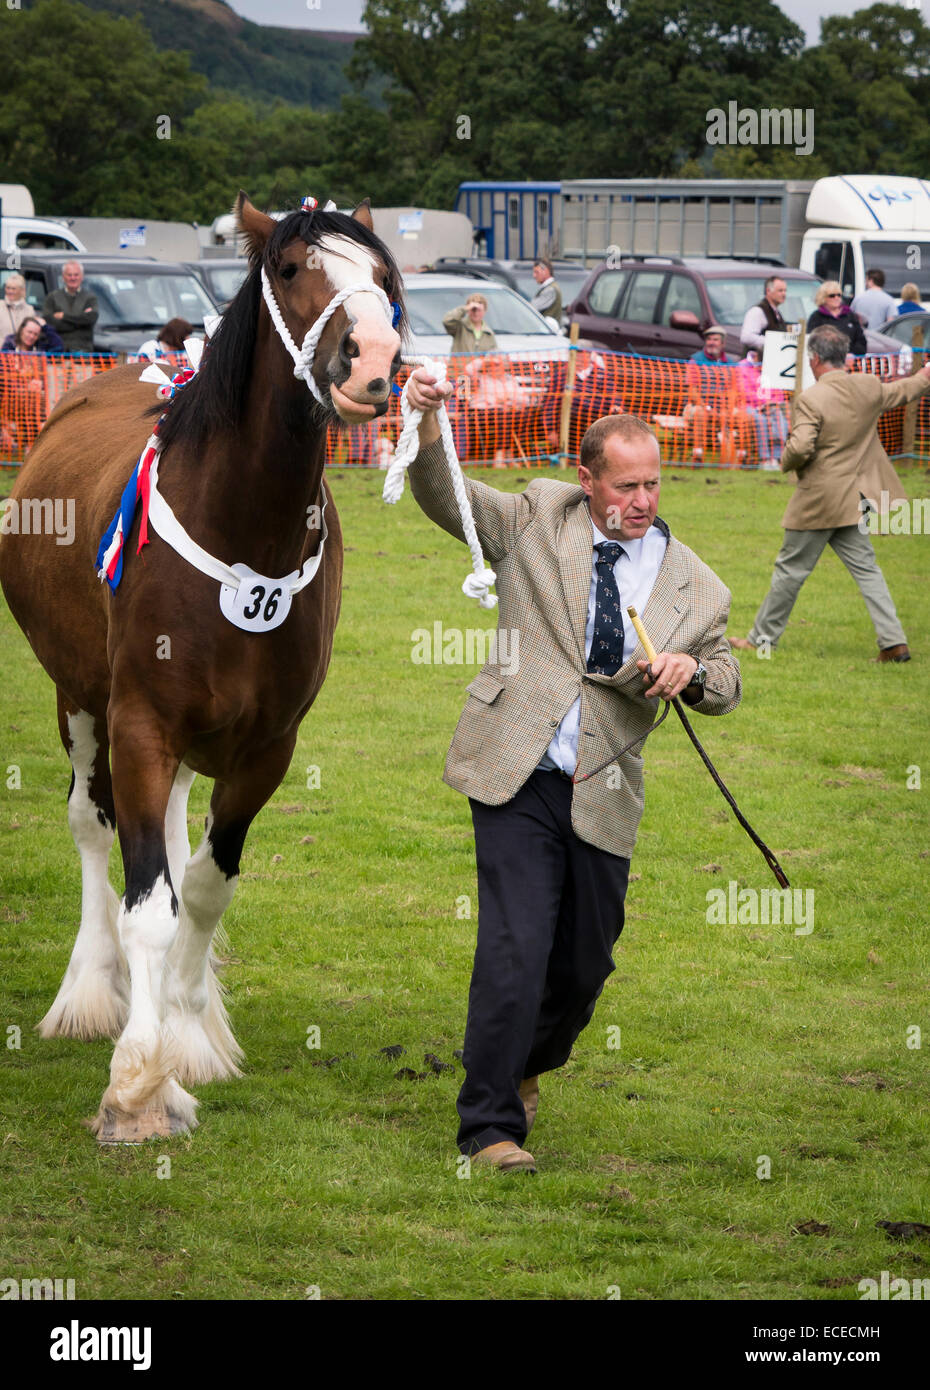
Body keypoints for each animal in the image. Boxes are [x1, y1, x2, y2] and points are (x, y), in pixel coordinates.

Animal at [0, 194, 404, 1143]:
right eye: (291, 270)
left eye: (383, 274)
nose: (372, 360)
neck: (242, 529)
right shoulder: (140, 725)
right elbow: (149, 906)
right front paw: (139, 1085)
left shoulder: (266, 748)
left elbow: (207, 886)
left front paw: (188, 1033)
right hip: (78, 700)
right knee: (91, 826)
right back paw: (89, 989)